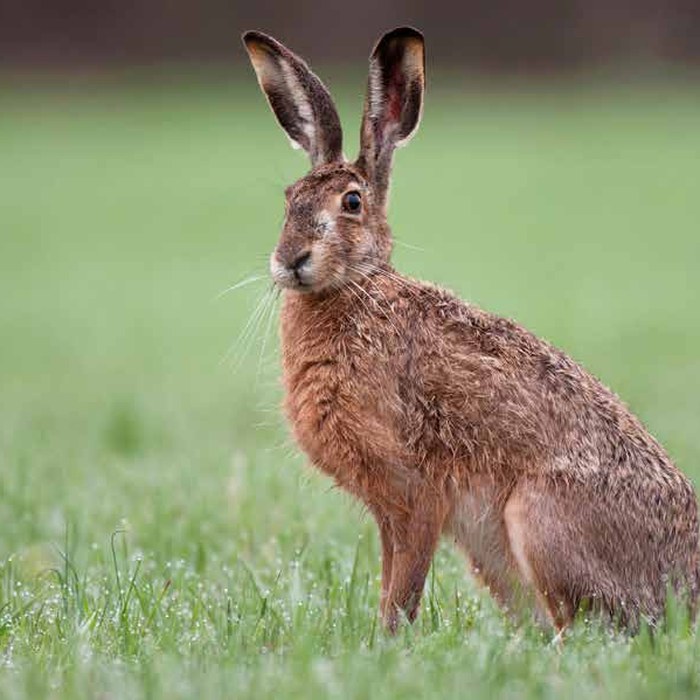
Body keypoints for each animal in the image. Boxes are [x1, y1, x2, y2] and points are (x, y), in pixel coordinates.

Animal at [242, 27, 699, 633]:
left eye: (352, 202)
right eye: (289, 199)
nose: (290, 260)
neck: (360, 290)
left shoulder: (415, 493)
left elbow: (402, 589)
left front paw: (388, 642)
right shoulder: (393, 510)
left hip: (538, 518)